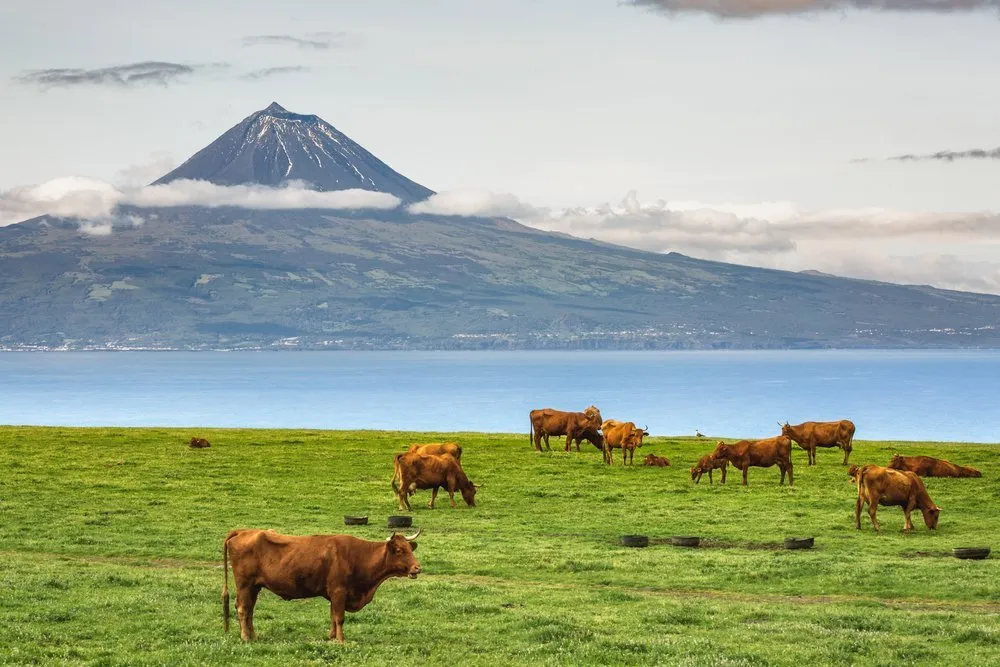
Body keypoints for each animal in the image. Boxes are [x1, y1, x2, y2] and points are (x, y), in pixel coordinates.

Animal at [221, 528, 420, 644]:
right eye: (400, 550)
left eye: (410, 549)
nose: (417, 567)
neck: (357, 556)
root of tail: (244, 531)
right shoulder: (339, 591)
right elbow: (339, 617)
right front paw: (341, 640)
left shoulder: (334, 594)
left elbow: (332, 616)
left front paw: (331, 637)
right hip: (244, 585)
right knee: (243, 608)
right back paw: (245, 637)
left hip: (254, 587)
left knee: (250, 610)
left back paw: (253, 636)